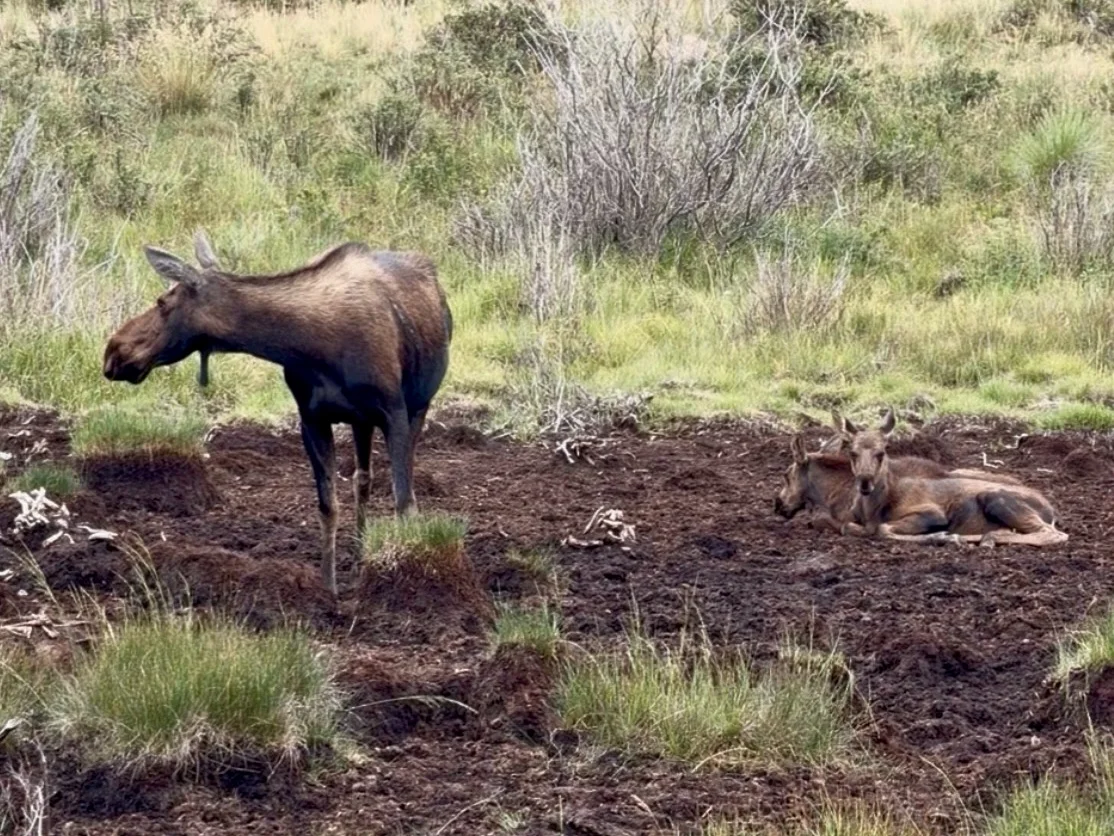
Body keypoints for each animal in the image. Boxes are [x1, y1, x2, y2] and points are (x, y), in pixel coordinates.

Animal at [103, 231, 453, 593]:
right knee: (362, 480)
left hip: (417, 406)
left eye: (162, 302)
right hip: (361, 422)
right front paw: (328, 589)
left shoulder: (394, 412)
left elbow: (404, 502)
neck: (311, 348)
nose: (114, 350)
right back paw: (358, 555)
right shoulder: (311, 419)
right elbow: (328, 505)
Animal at [836, 408, 1067, 547]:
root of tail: (1052, 511)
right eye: (852, 452)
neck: (873, 507)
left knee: (1055, 533)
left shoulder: (933, 514)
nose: (865, 482)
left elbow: (882, 529)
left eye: (881, 452)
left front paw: (939, 536)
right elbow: (848, 527)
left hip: (994, 498)